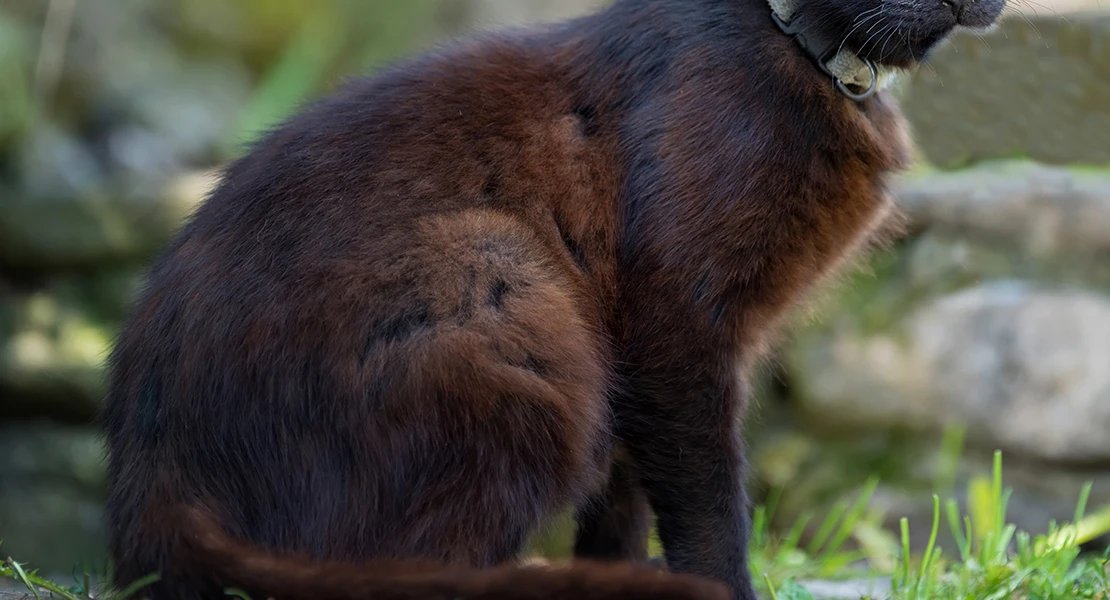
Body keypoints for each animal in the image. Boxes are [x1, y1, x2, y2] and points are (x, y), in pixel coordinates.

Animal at [102, 1, 1007, 598]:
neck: (813, 59)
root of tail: (151, 475)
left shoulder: (653, 361)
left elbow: (623, 508)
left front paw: (618, 575)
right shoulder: (679, 325)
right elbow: (713, 505)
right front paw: (720, 591)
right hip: (508, 282)